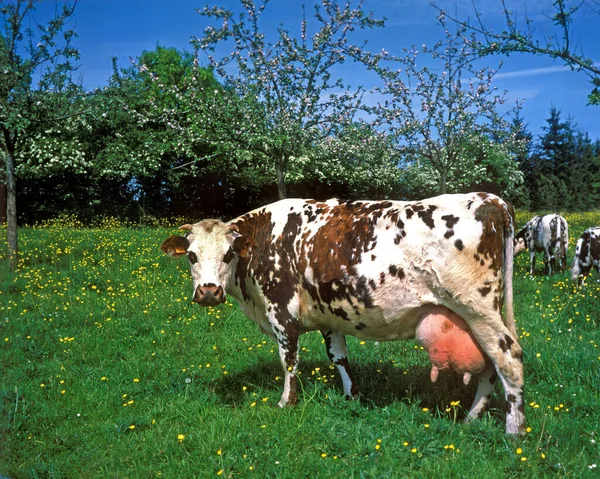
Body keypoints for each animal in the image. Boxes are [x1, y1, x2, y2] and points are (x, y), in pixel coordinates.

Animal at [162, 192, 524, 436]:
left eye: (227, 254)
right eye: (191, 256)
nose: (209, 291)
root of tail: (487, 198)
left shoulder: (282, 311)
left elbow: (288, 359)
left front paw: (286, 402)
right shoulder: (329, 316)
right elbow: (339, 357)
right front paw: (352, 396)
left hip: (477, 309)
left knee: (508, 358)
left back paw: (514, 430)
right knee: (489, 366)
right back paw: (471, 419)